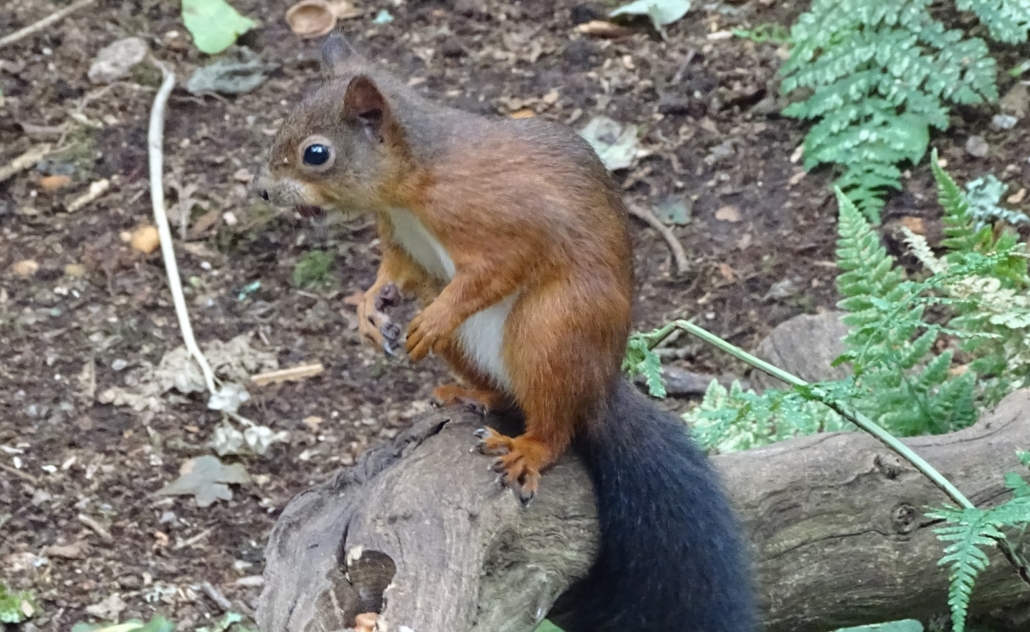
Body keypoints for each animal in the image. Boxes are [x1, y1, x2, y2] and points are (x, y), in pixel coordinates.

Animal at [255, 34, 757, 632]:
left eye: (317, 153)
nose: (262, 192)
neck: (411, 184)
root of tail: (600, 387)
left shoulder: (499, 216)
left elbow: (499, 267)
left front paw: (434, 316)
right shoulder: (404, 244)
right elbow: (395, 270)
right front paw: (369, 309)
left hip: (550, 333)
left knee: (557, 423)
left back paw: (529, 448)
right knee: (505, 391)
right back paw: (472, 394)